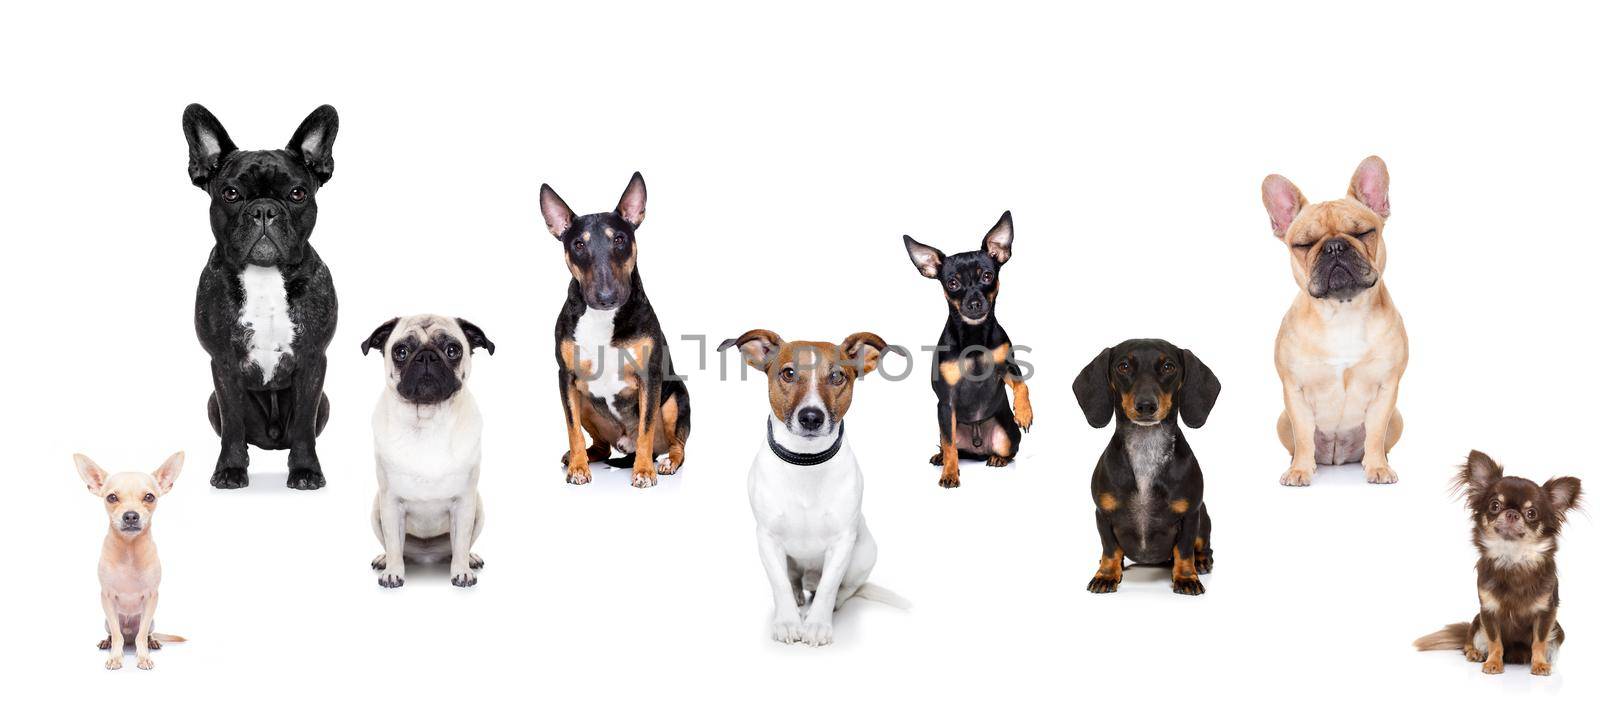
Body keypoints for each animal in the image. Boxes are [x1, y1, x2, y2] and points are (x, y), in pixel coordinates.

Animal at [544, 171, 688, 489]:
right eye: (579, 245)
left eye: (620, 239)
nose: (606, 296)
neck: (603, 318)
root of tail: (624, 443)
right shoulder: (566, 377)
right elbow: (571, 428)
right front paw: (578, 469)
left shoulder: (649, 377)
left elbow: (646, 428)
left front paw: (644, 472)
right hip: (585, 402)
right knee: (600, 446)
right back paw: (580, 458)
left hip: (675, 399)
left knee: (677, 444)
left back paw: (666, 462)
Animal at [902, 212, 1036, 489]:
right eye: (952, 283)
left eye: (987, 276)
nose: (974, 302)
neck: (974, 336)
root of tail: (978, 447)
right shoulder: (946, 402)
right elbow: (950, 444)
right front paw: (950, 474)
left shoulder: (1007, 367)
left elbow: (1022, 385)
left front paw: (1024, 412)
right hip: (946, 425)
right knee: (952, 445)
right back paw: (941, 458)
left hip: (1006, 437)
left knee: (1009, 450)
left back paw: (998, 458)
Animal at [1075, 338, 1222, 594]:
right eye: (1123, 366)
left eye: (1169, 367)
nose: (1145, 405)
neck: (1146, 450)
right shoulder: (1103, 513)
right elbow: (1110, 549)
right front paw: (1106, 574)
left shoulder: (1190, 515)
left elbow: (1184, 550)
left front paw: (1186, 578)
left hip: (1204, 517)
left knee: (1202, 546)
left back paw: (1202, 561)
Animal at [1420, 453, 1580, 677]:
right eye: (1495, 505)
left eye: (1532, 513)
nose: (1512, 513)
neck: (1513, 558)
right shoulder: (1488, 611)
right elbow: (1495, 641)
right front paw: (1494, 663)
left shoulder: (1546, 613)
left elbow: (1539, 641)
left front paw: (1540, 664)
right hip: (1477, 621)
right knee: (1470, 638)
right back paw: (1475, 653)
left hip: (1558, 630)